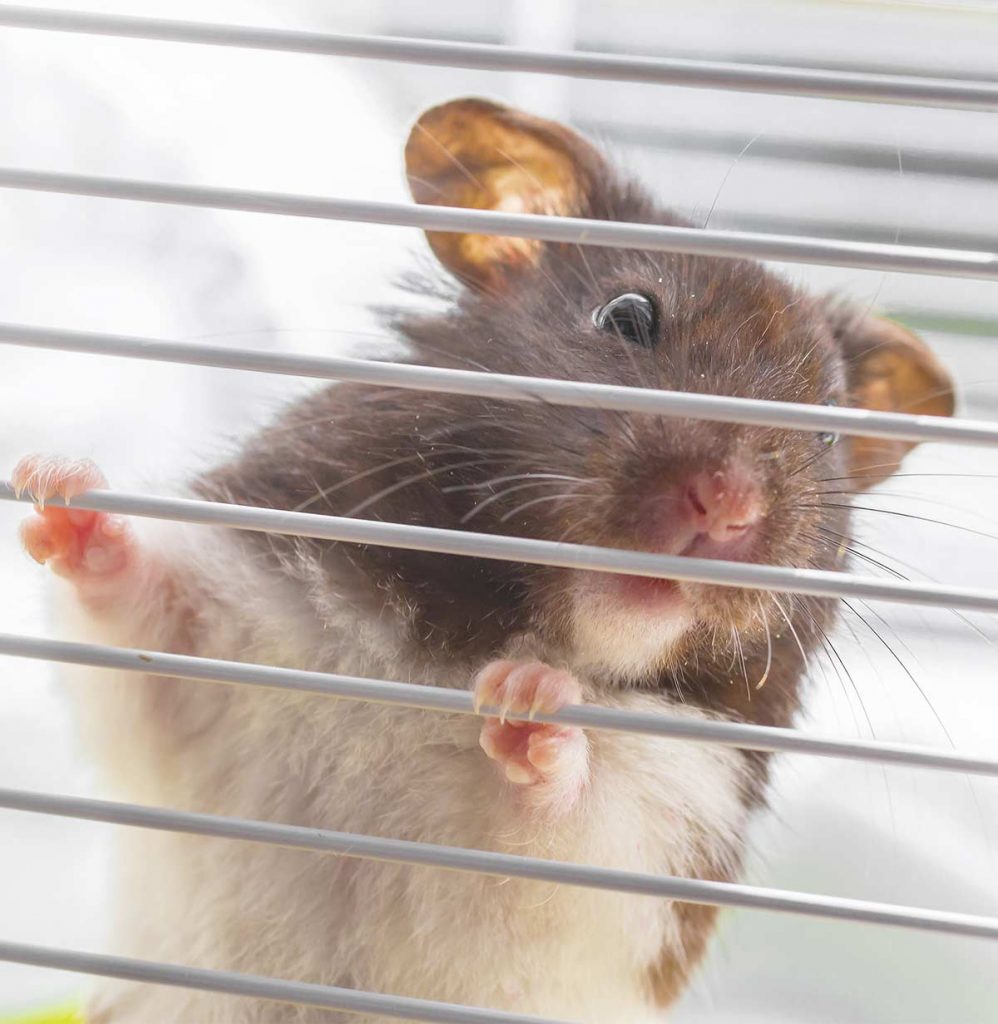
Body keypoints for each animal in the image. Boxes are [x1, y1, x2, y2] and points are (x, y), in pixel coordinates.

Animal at [13, 98, 955, 1023]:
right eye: (628, 317)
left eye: (829, 433)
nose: (729, 504)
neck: (457, 642)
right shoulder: (224, 642)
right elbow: (140, 630)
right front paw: (56, 487)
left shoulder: (651, 857)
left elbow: (557, 836)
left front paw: (529, 698)